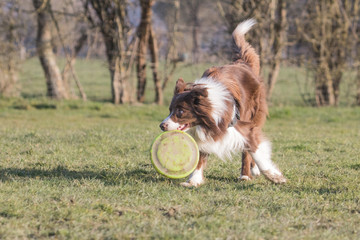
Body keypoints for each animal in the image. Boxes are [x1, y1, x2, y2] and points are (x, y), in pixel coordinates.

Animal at [159, 19, 286, 188]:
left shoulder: (242, 127)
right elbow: (201, 156)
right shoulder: (206, 131)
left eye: (180, 111)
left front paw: (275, 176)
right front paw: (193, 180)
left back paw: (246, 175)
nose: (162, 125)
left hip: (252, 114)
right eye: (170, 110)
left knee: (247, 151)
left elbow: (256, 151)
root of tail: (242, 63)